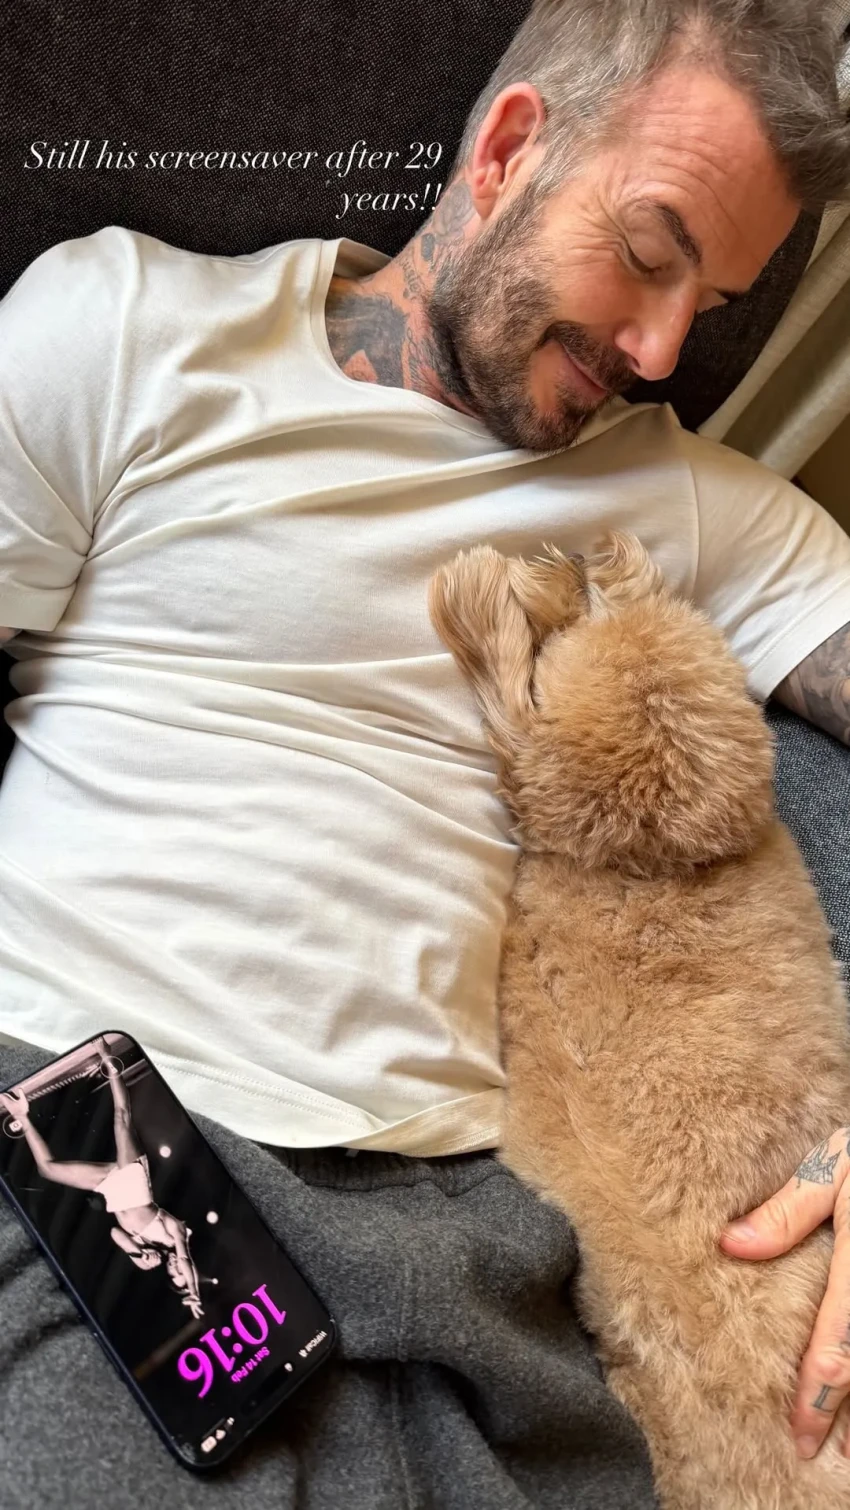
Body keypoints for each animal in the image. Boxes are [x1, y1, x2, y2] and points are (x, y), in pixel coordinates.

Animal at [428, 531, 850, 1510]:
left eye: (577, 623)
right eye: (604, 590)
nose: (586, 545)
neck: (658, 864)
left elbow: (511, 726)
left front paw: (475, 600)